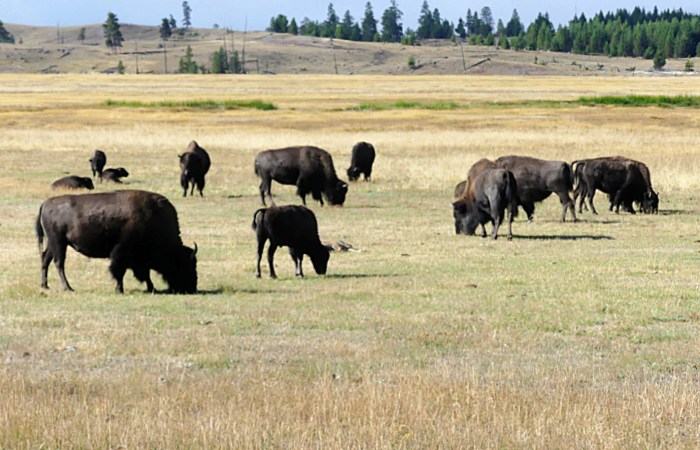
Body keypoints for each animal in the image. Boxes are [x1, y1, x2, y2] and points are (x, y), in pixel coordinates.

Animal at [36, 190, 198, 294]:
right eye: (184, 264)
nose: (192, 288)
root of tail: (46, 203)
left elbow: (144, 274)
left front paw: (152, 288)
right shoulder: (122, 254)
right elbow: (120, 271)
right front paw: (120, 289)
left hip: (53, 243)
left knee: (45, 259)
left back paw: (45, 286)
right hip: (59, 242)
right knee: (59, 263)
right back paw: (68, 288)